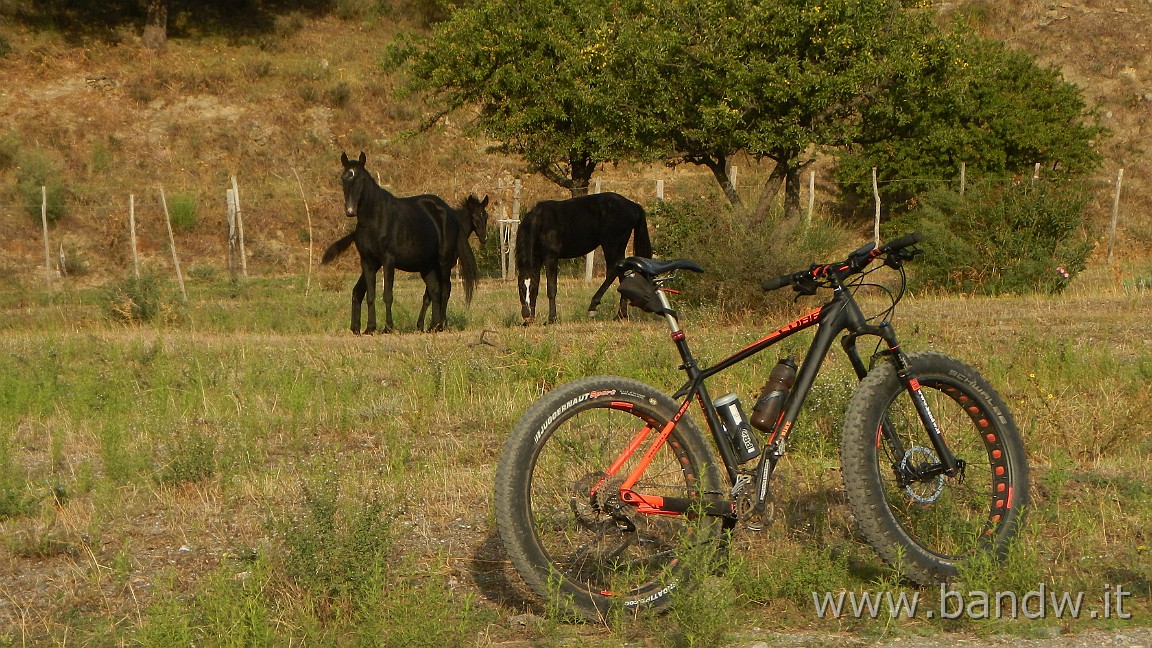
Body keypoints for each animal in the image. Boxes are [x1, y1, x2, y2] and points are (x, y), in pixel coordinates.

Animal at [320, 151, 490, 332]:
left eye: (362, 179)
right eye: (343, 178)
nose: (350, 210)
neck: (375, 219)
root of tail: (448, 213)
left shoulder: (388, 260)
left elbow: (388, 294)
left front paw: (388, 327)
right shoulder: (367, 261)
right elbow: (371, 295)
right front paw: (370, 328)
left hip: (443, 263)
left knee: (444, 290)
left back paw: (439, 325)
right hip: (428, 266)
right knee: (435, 291)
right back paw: (433, 325)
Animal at [518, 190, 654, 322]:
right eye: (521, 288)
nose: (527, 315)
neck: (541, 223)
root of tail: (633, 205)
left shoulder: (551, 258)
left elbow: (551, 288)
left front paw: (552, 319)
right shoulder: (538, 259)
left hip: (611, 244)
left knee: (613, 271)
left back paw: (593, 306)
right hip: (619, 246)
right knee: (622, 274)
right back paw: (620, 315)